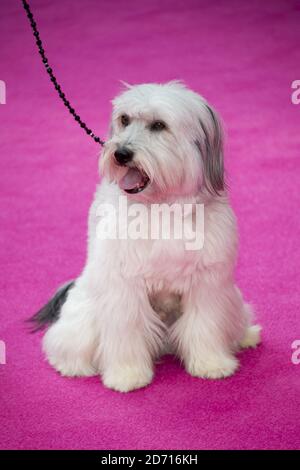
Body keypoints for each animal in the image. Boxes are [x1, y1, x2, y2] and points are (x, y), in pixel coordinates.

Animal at [34, 81, 262, 392]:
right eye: (124, 119)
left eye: (159, 125)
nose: (121, 153)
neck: (161, 206)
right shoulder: (124, 288)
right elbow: (127, 333)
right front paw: (127, 375)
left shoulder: (207, 284)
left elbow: (205, 325)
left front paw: (211, 363)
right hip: (83, 316)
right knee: (64, 342)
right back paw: (72, 366)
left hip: (232, 299)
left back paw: (247, 335)